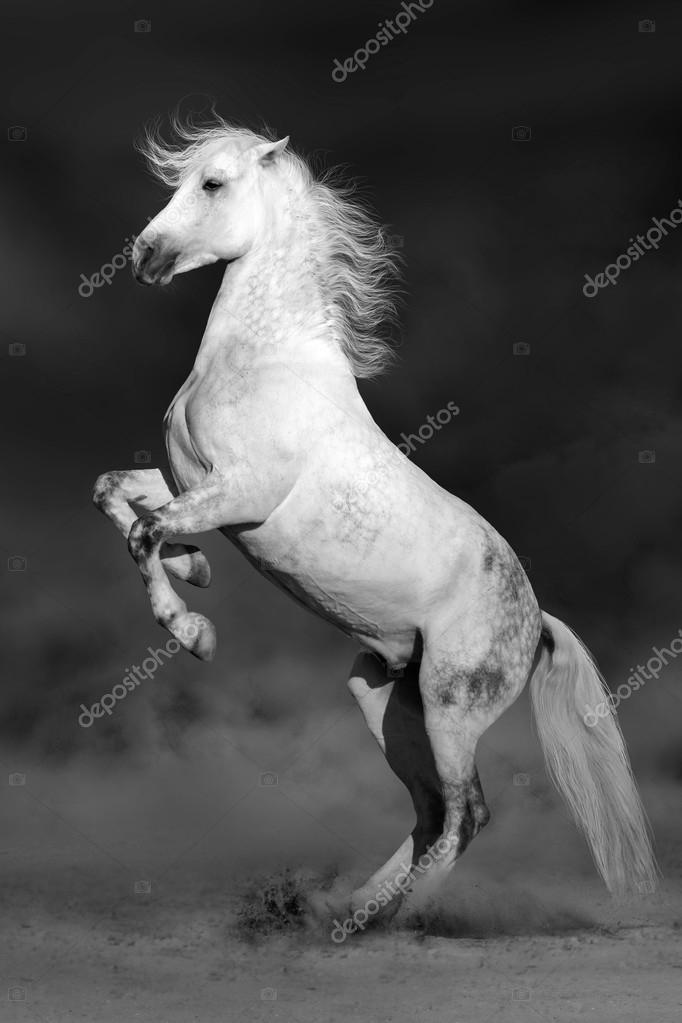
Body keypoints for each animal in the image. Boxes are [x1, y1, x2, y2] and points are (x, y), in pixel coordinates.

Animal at [93, 114, 657, 919]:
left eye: (213, 183)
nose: (144, 256)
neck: (267, 362)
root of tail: (536, 620)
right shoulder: (185, 480)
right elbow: (117, 492)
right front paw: (195, 570)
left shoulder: (239, 495)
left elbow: (146, 528)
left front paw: (195, 632)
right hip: (385, 695)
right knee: (430, 812)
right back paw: (347, 912)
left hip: (452, 703)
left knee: (467, 813)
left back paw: (393, 920)